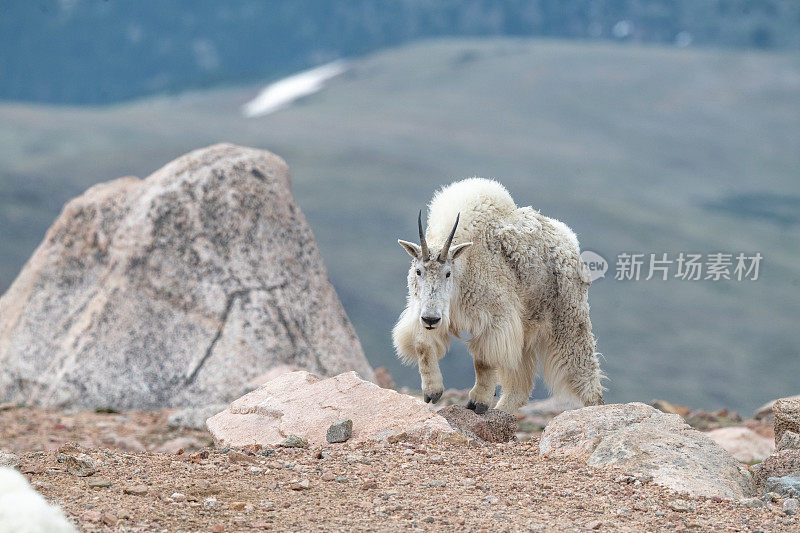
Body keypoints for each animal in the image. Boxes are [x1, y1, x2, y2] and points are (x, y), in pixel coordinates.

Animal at [390, 177, 604, 414]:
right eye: (418, 271)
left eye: (448, 273)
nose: (431, 319)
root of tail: (570, 239)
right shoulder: (424, 309)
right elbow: (422, 344)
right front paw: (432, 392)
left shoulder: (496, 318)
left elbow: (484, 360)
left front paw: (478, 402)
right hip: (527, 327)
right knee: (520, 384)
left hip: (568, 318)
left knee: (583, 371)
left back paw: (595, 408)